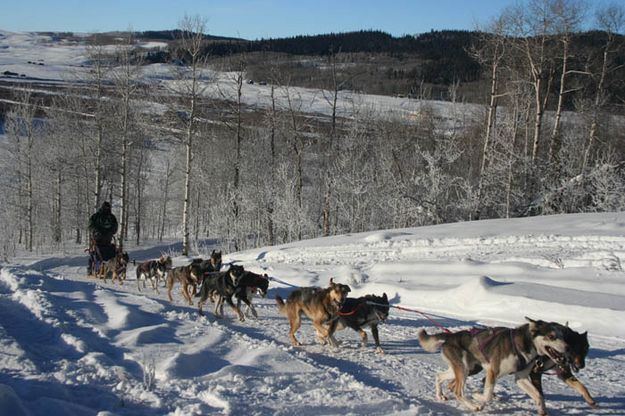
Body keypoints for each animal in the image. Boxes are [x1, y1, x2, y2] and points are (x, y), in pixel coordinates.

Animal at [420, 316, 572, 414]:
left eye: (563, 336)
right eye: (551, 336)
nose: (567, 347)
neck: (523, 344)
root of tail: (451, 336)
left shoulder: (521, 377)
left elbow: (538, 395)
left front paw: (542, 410)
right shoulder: (493, 372)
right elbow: (487, 395)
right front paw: (476, 395)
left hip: (464, 369)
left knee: (439, 376)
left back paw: (440, 396)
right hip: (463, 370)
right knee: (458, 392)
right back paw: (473, 406)